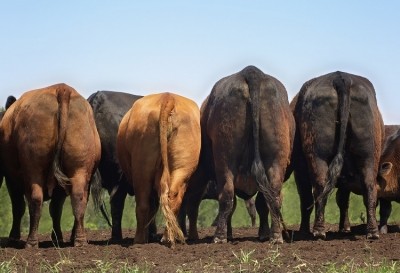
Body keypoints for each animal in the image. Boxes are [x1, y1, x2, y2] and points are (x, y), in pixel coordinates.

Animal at [0, 84, 101, 248]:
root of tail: (62, 89)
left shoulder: (11, 179)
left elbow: (18, 207)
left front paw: (14, 237)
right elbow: (56, 209)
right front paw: (57, 237)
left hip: (34, 168)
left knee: (35, 199)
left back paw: (32, 242)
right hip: (79, 168)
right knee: (79, 197)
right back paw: (79, 240)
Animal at [117, 92, 202, 245]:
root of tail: (168, 97)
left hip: (142, 168)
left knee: (143, 203)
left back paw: (139, 240)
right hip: (181, 167)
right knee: (172, 198)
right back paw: (167, 237)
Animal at [184, 65, 294, 242]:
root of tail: (251, 71)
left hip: (224, 158)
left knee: (225, 197)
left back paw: (219, 236)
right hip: (276, 160)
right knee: (273, 195)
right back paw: (276, 236)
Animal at [290, 71, 384, 239]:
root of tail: (341, 77)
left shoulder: (299, 170)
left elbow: (306, 198)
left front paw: (303, 230)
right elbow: (343, 200)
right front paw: (344, 228)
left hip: (317, 155)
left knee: (320, 187)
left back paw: (319, 230)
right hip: (369, 156)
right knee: (369, 187)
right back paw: (372, 232)